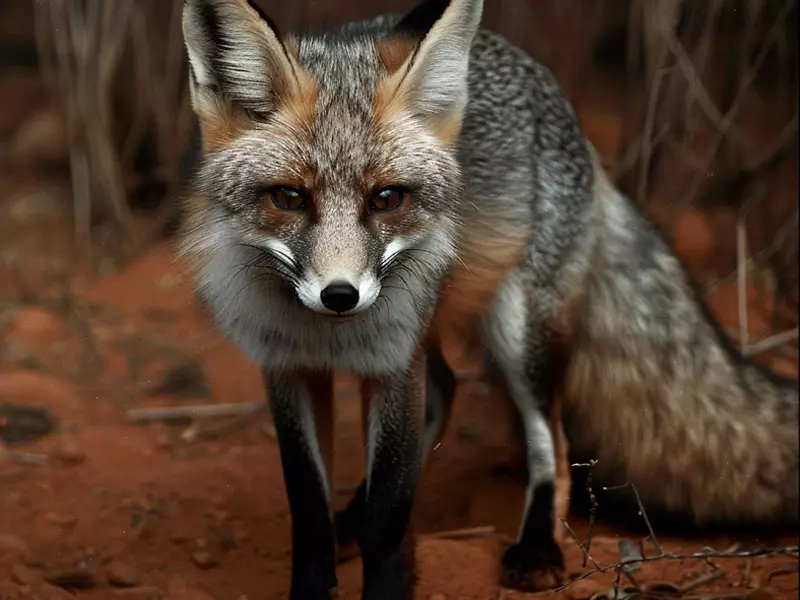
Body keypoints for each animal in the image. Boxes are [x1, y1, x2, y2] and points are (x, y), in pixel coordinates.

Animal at [178, 0, 800, 597]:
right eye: (288, 198)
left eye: (386, 199)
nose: (340, 296)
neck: (330, 337)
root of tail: (559, 100)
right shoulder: (287, 369)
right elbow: (309, 514)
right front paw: (319, 575)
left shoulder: (395, 364)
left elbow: (390, 517)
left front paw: (388, 578)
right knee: (446, 391)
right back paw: (351, 521)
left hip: (517, 331)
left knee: (551, 442)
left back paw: (537, 549)